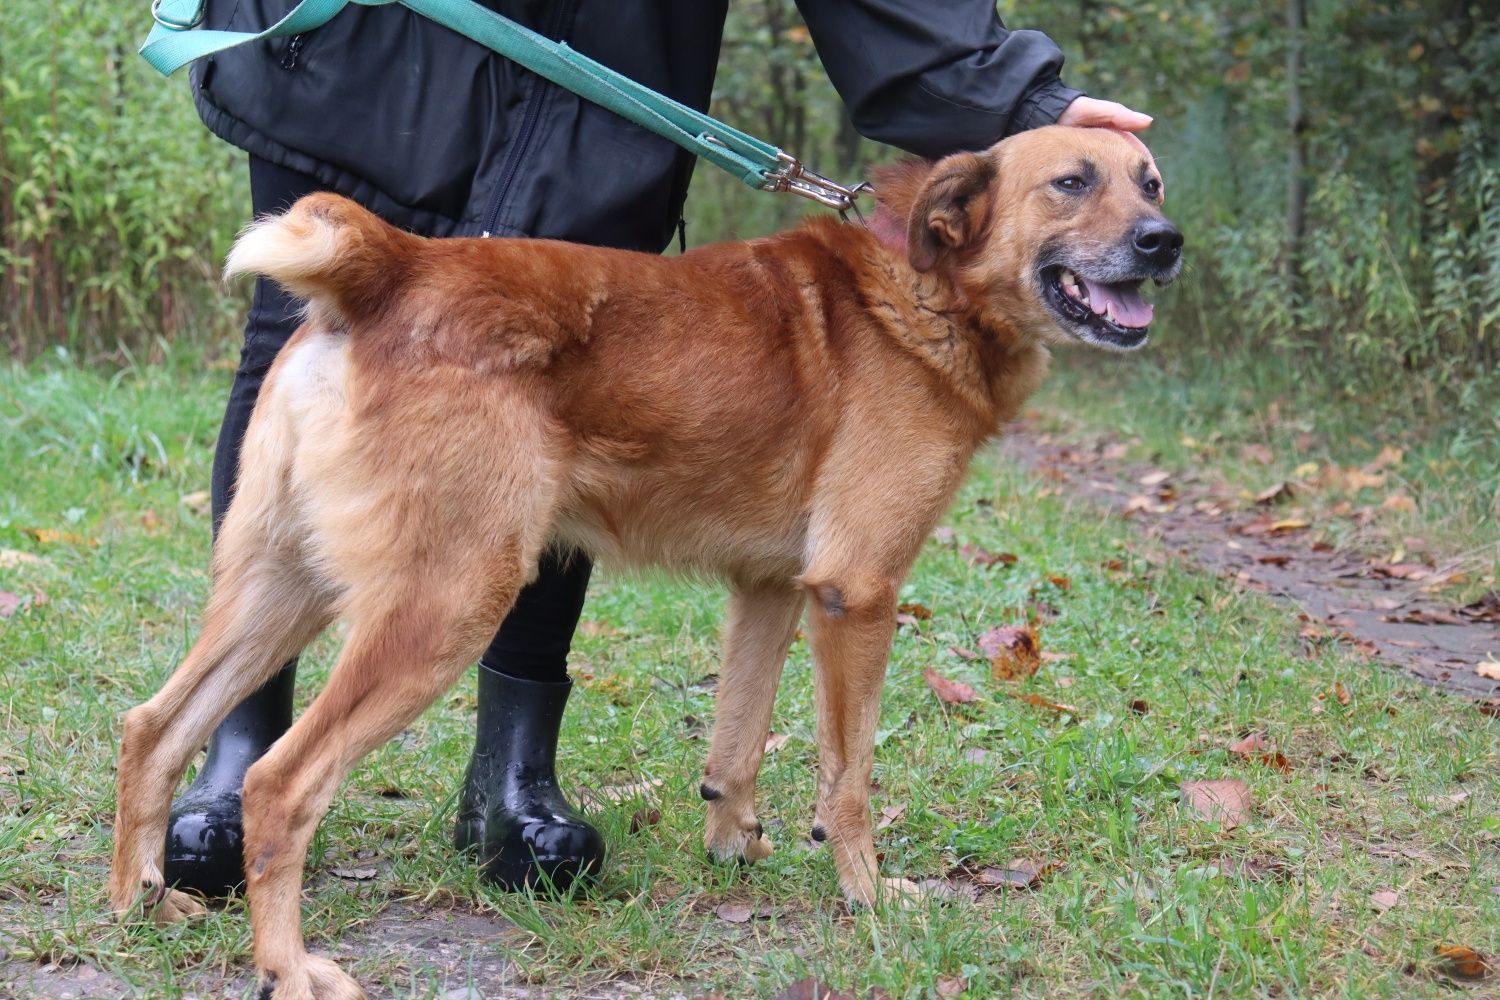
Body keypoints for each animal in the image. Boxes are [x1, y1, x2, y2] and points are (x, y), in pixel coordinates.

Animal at [108, 127, 1182, 1000]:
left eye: (1151, 182)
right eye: (1072, 182)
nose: (1163, 243)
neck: (925, 284)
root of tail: (392, 266)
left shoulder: (770, 592)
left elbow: (736, 749)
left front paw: (734, 851)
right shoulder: (857, 594)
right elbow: (848, 780)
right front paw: (869, 896)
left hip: (280, 591)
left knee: (153, 729)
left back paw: (140, 906)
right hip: (445, 605)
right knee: (280, 785)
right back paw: (287, 966)